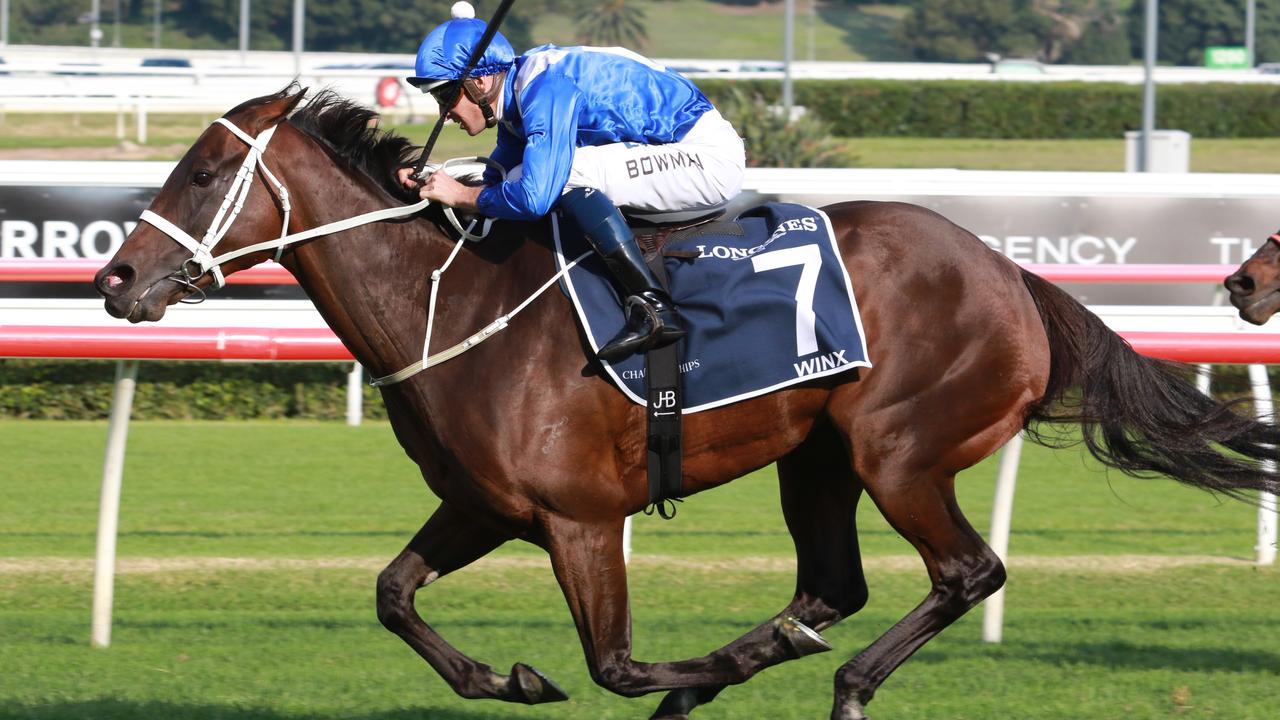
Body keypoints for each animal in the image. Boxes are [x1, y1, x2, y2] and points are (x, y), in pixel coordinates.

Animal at [92, 87, 1280, 712]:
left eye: (202, 174)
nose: (114, 279)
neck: (458, 304)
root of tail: (1011, 275)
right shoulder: (484, 506)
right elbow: (392, 595)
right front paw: (509, 676)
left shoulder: (580, 516)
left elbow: (614, 663)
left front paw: (680, 669)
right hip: (817, 456)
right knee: (833, 585)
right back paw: (772, 653)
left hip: (898, 451)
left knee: (963, 571)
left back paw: (834, 679)